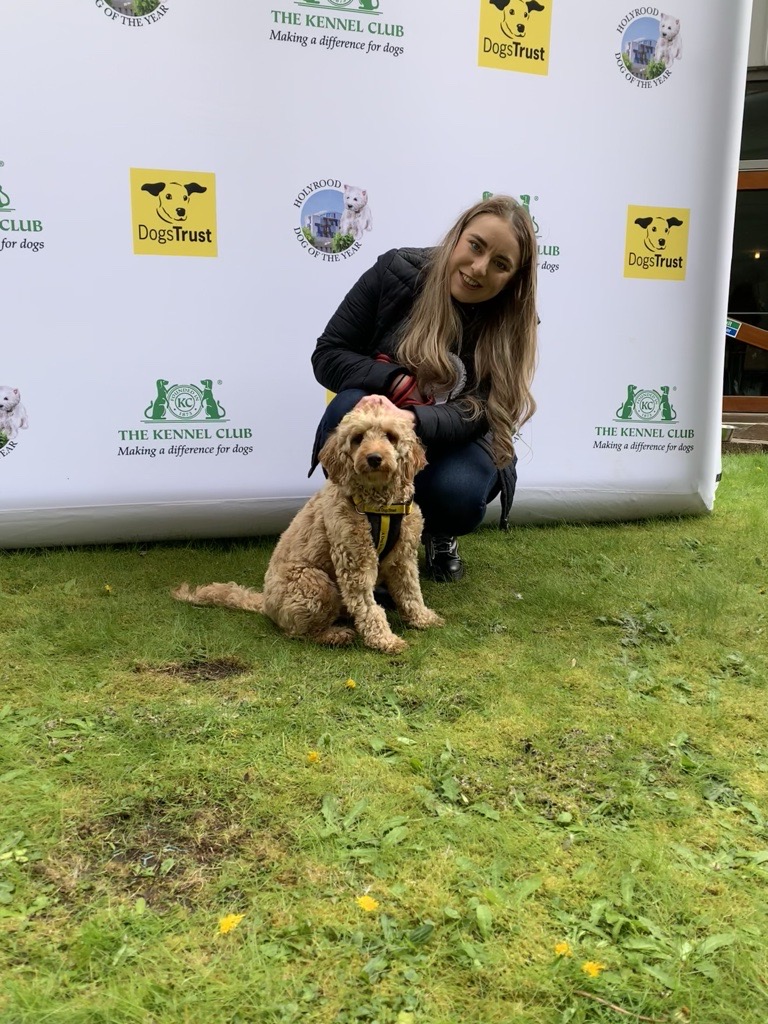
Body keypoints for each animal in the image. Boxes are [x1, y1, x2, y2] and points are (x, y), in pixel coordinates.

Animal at [172, 395, 442, 651]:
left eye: (390, 436)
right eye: (358, 438)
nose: (374, 458)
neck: (379, 505)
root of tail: (266, 602)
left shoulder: (403, 557)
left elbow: (411, 592)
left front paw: (422, 618)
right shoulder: (355, 561)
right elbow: (368, 607)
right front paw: (384, 639)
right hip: (315, 582)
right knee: (299, 632)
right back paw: (335, 634)